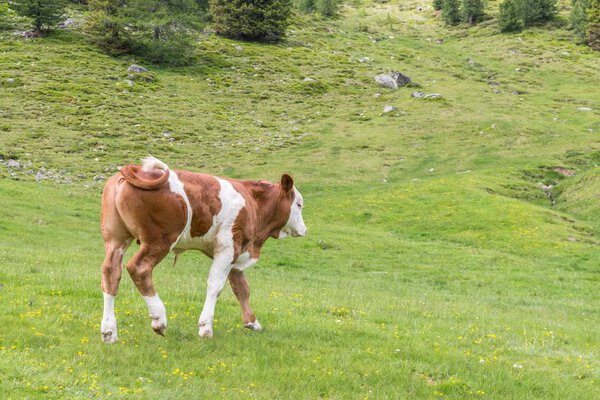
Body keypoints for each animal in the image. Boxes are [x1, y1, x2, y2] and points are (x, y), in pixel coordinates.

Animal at [101, 158, 308, 342]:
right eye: (299, 204)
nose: (304, 230)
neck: (253, 203)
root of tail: (134, 170)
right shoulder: (228, 247)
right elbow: (216, 285)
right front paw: (206, 327)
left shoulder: (236, 250)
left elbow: (241, 287)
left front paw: (252, 323)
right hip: (159, 240)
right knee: (139, 269)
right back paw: (159, 319)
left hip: (116, 239)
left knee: (111, 273)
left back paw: (109, 331)